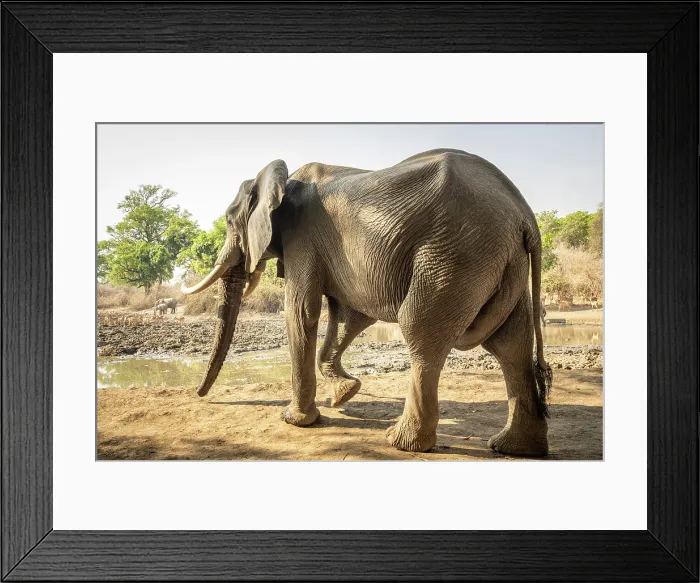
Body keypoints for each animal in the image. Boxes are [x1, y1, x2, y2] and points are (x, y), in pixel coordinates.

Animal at [181, 149, 552, 456]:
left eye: (230, 221)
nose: (199, 396)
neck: (282, 181)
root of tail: (525, 216)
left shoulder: (302, 237)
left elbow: (301, 312)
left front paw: (295, 420)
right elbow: (351, 316)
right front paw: (345, 393)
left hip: (456, 255)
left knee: (420, 331)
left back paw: (402, 443)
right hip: (499, 259)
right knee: (511, 344)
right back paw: (513, 448)